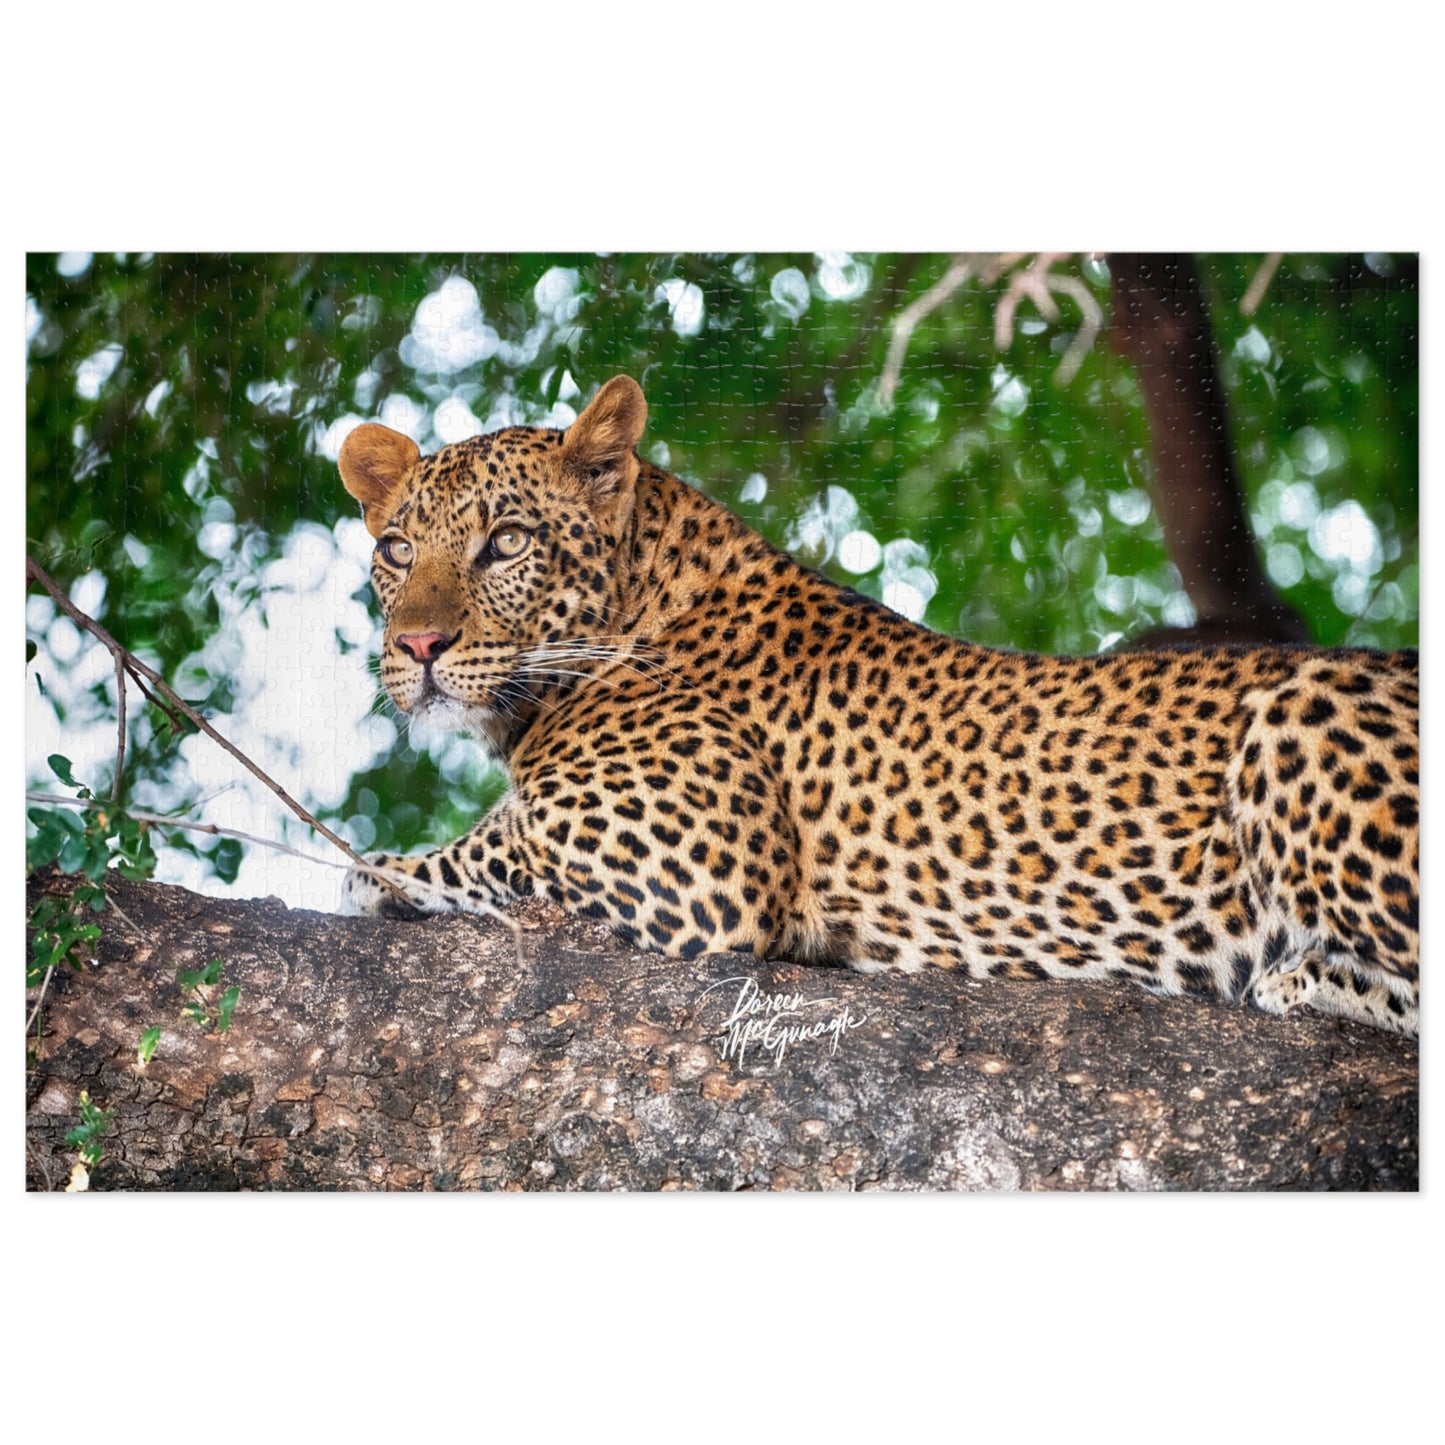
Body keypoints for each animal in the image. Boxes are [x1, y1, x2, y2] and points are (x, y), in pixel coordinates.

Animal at [337, 375, 1419, 1037]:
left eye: (507, 543)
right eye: (397, 550)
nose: (417, 648)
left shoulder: (696, 867)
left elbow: (483, 844)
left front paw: (377, 874)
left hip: (1302, 707)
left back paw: (1295, 973)